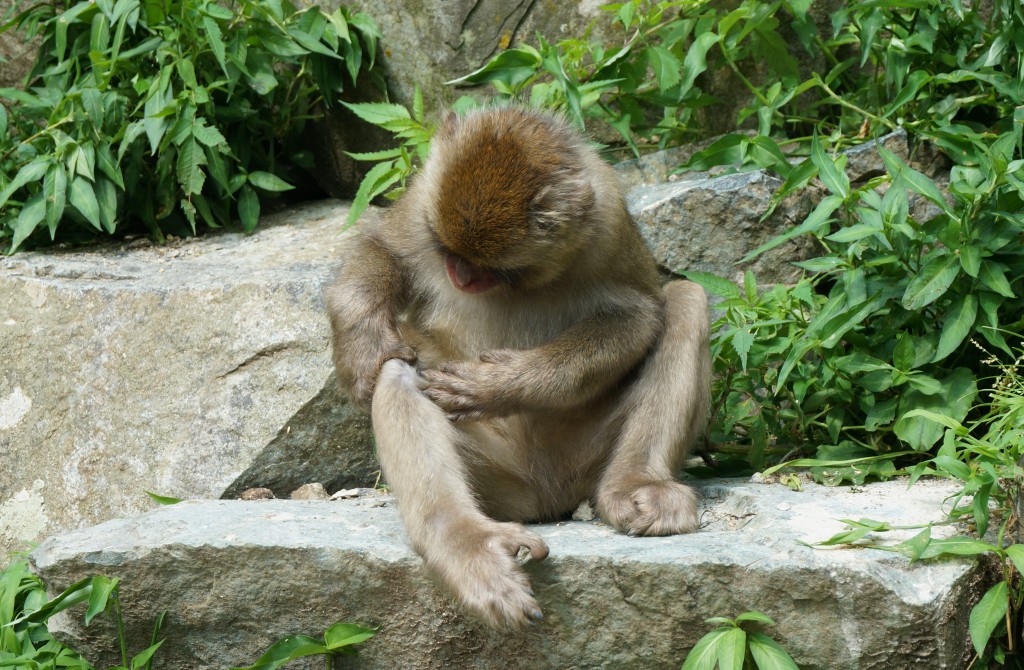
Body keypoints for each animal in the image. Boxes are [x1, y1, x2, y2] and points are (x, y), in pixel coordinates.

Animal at [323, 105, 708, 631]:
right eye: (447, 251)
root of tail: (542, 499)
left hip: (582, 462)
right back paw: (468, 544)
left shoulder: (609, 226)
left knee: (686, 300)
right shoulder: (424, 196)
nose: (460, 276)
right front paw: (361, 345)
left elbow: (635, 318)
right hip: (497, 483)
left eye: (495, 268)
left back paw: (636, 485)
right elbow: (385, 249)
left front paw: (498, 385)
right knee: (401, 372)